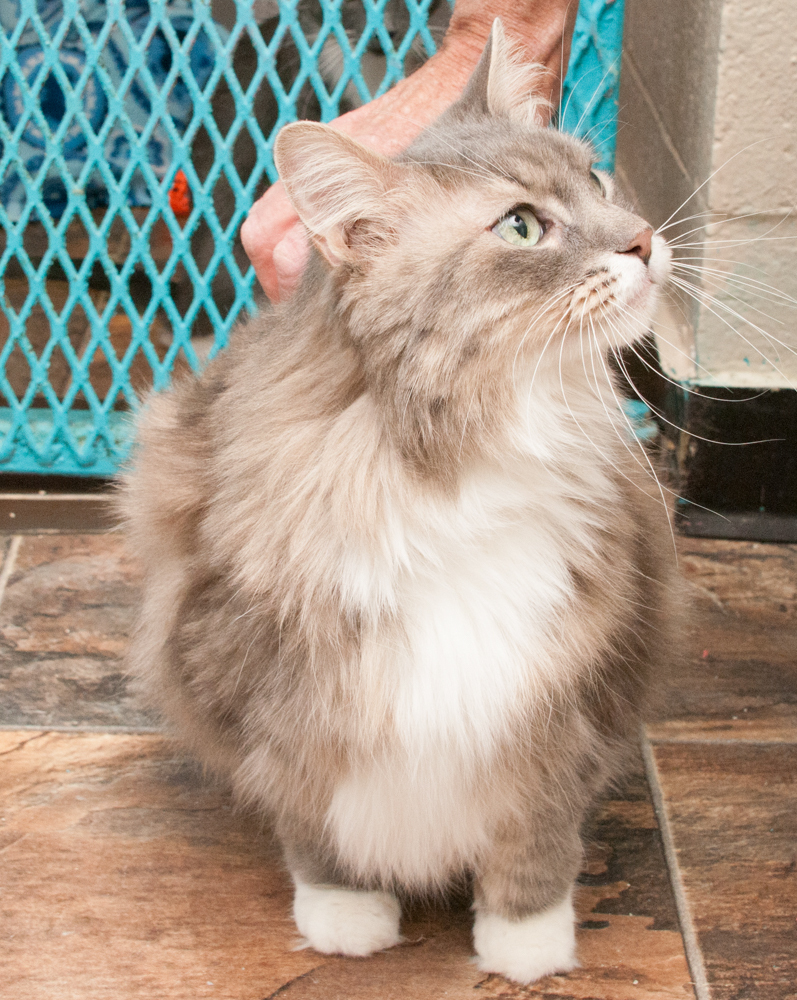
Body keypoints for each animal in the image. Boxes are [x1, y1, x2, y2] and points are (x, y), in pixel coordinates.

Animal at [123, 21, 676, 984]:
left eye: (597, 182)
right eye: (521, 226)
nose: (643, 240)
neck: (456, 458)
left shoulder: (562, 696)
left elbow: (535, 842)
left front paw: (526, 947)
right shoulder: (276, 694)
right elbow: (316, 824)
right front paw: (347, 916)